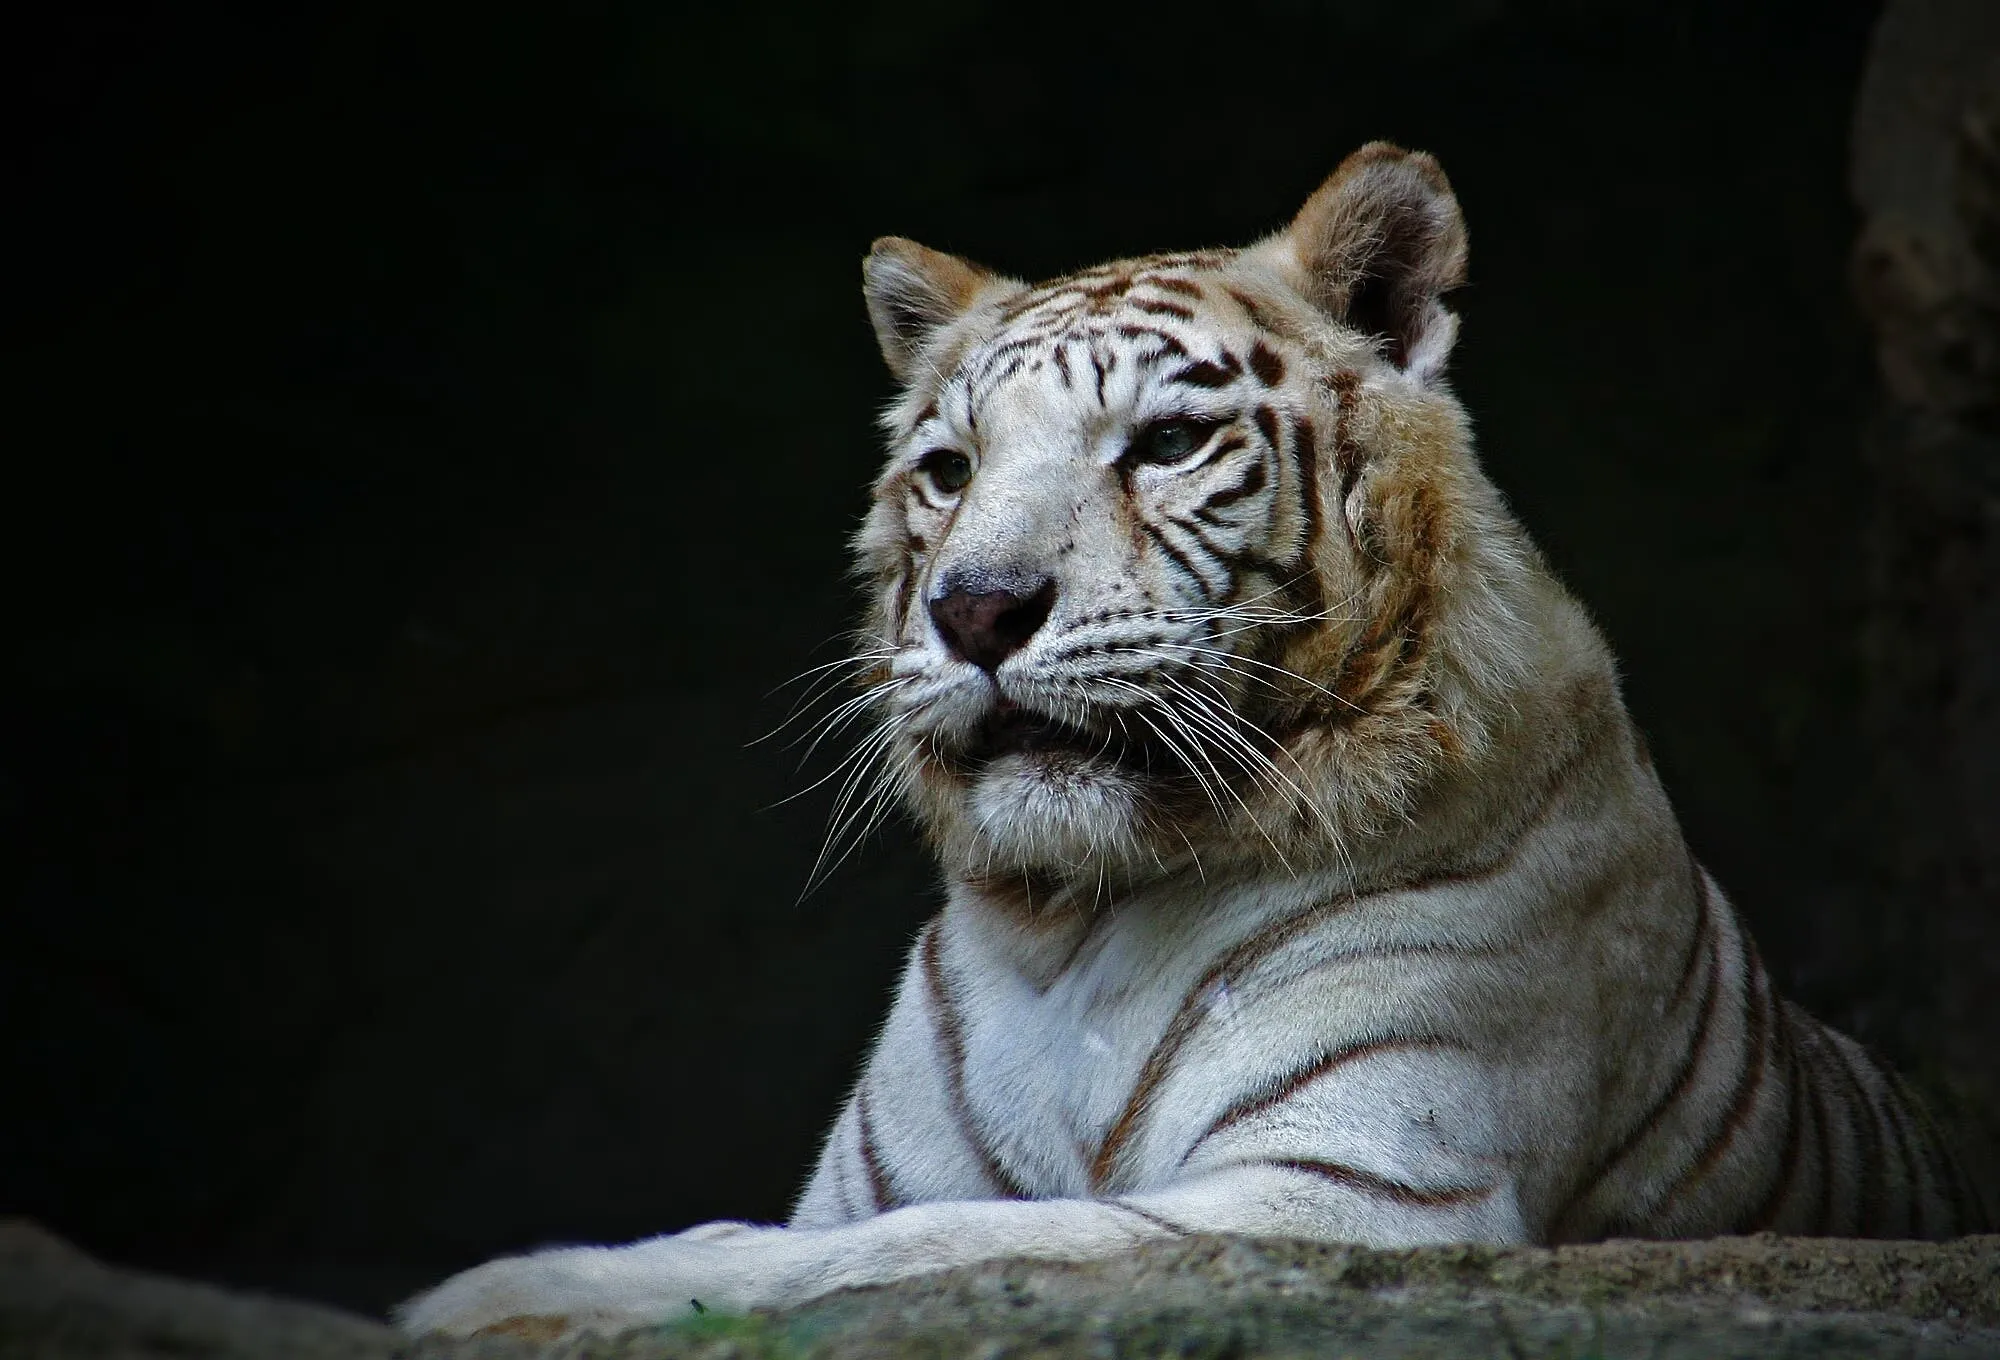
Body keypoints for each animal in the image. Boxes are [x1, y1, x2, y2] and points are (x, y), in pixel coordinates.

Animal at [398, 142, 1987, 1340]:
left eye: (1163, 446)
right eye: (948, 470)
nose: (977, 607)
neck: (1079, 922)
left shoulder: (1354, 1190)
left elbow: (927, 1246)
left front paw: (493, 1295)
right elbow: (870, 1226)